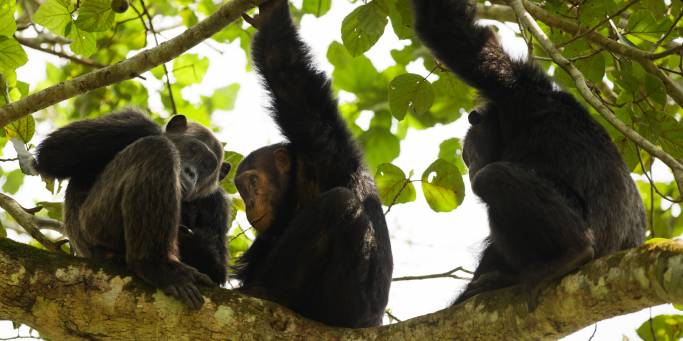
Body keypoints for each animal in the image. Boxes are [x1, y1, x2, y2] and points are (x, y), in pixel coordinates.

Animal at [33, 110, 231, 306]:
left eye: (207, 165)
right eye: (193, 149)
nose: (191, 172)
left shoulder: (218, 204)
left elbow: (217, 269)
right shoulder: (130, 121)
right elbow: (53, 151)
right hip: (94, 223)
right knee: (158, 148)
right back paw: (156, 266)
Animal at [235, 0, 396, 326]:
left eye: (253, 182)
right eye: (242, 190)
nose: (249, 202)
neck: (298, 180)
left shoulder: (320, 138)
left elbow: (285, 69)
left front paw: (271, 14)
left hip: (342, 305)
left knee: (339, 203)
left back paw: (267, 292)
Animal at [412, 0, 648, 308]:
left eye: (467, 155)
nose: (470, 167)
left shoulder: (512, 85)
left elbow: (449, 29)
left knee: (493, 178)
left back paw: (573, 252)